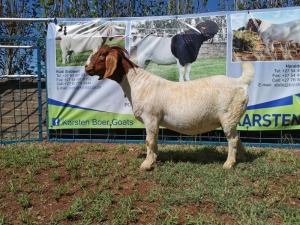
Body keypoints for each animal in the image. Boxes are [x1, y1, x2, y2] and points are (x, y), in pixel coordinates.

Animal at [85, 44, 255, 170]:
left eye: (102, 54)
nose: (86, 67)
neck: (136, 83)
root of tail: (240, 82)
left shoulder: (150, 117)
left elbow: (149, 140)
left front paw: (146, 164)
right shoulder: (155, 121)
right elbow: (154, 140)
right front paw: (154, 159)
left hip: (228, 116)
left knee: (232, 139)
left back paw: (228, 164)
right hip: (232, 119)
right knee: (237, 137)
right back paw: (243, 157)